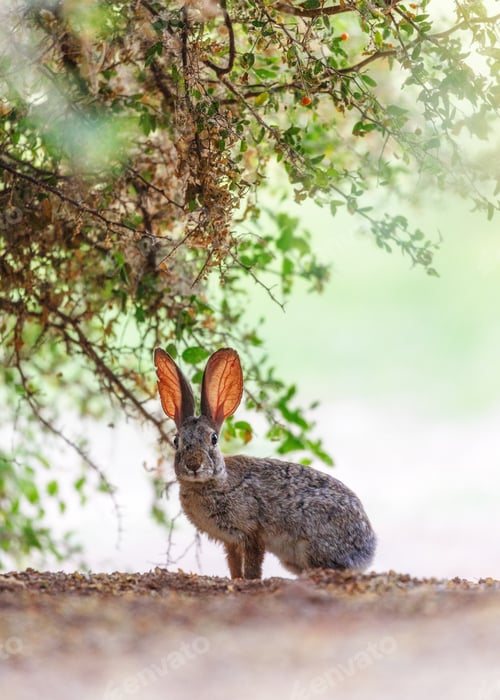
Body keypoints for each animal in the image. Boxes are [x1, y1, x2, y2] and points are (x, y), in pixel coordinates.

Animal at [154, 347, 376, 579]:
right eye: (176, 441)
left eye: (213, 439)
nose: (193, 465)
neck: (212, 483)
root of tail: (368, 550)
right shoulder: (230, 541)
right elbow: (234, 564)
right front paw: (236, 579)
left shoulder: (252, 533)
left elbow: (253, 564)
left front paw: (249, 580)